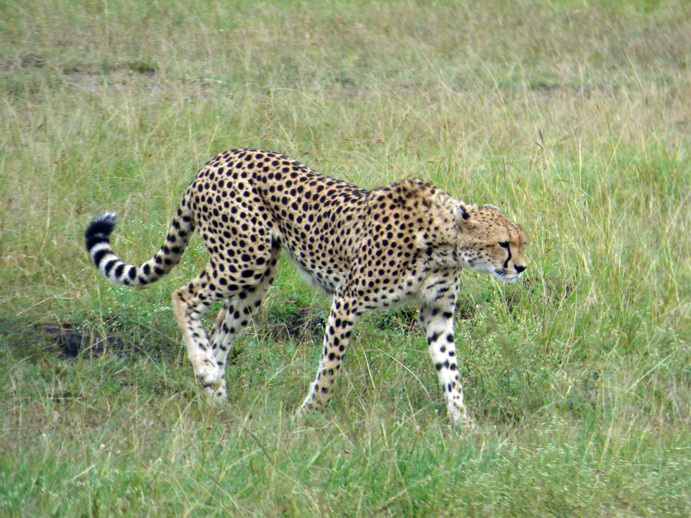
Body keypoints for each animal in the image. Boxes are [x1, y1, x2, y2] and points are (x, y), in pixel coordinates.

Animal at [88, 148, 528, 428]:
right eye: (503, 244)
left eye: (521, 242)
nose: (521, 267)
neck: (442, 242)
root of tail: (219, 157)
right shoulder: (347, 300)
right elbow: (330, 367)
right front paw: (309, 413)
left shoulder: (436, 312)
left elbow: (450, 372)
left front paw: (464, 424)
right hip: (243, 258)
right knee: (183, 296)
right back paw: (204, 369)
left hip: (257, 278)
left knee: (218, 333)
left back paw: (216, 395)